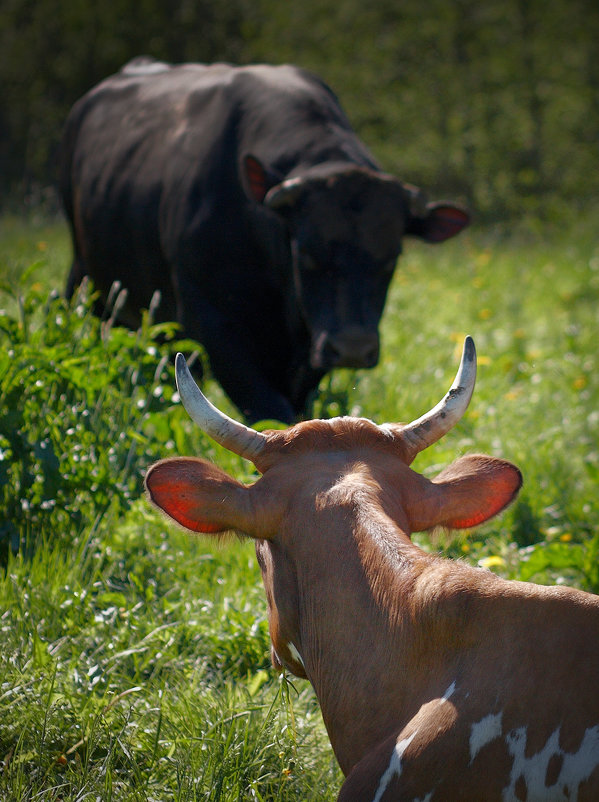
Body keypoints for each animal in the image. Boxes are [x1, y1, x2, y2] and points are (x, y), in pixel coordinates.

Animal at [62, 58, 474, 422]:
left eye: (391, 258)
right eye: (305, 254)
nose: (353, 348)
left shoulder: (308, 350)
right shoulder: (210, 323)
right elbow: (271, 413)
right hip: (85, 278)